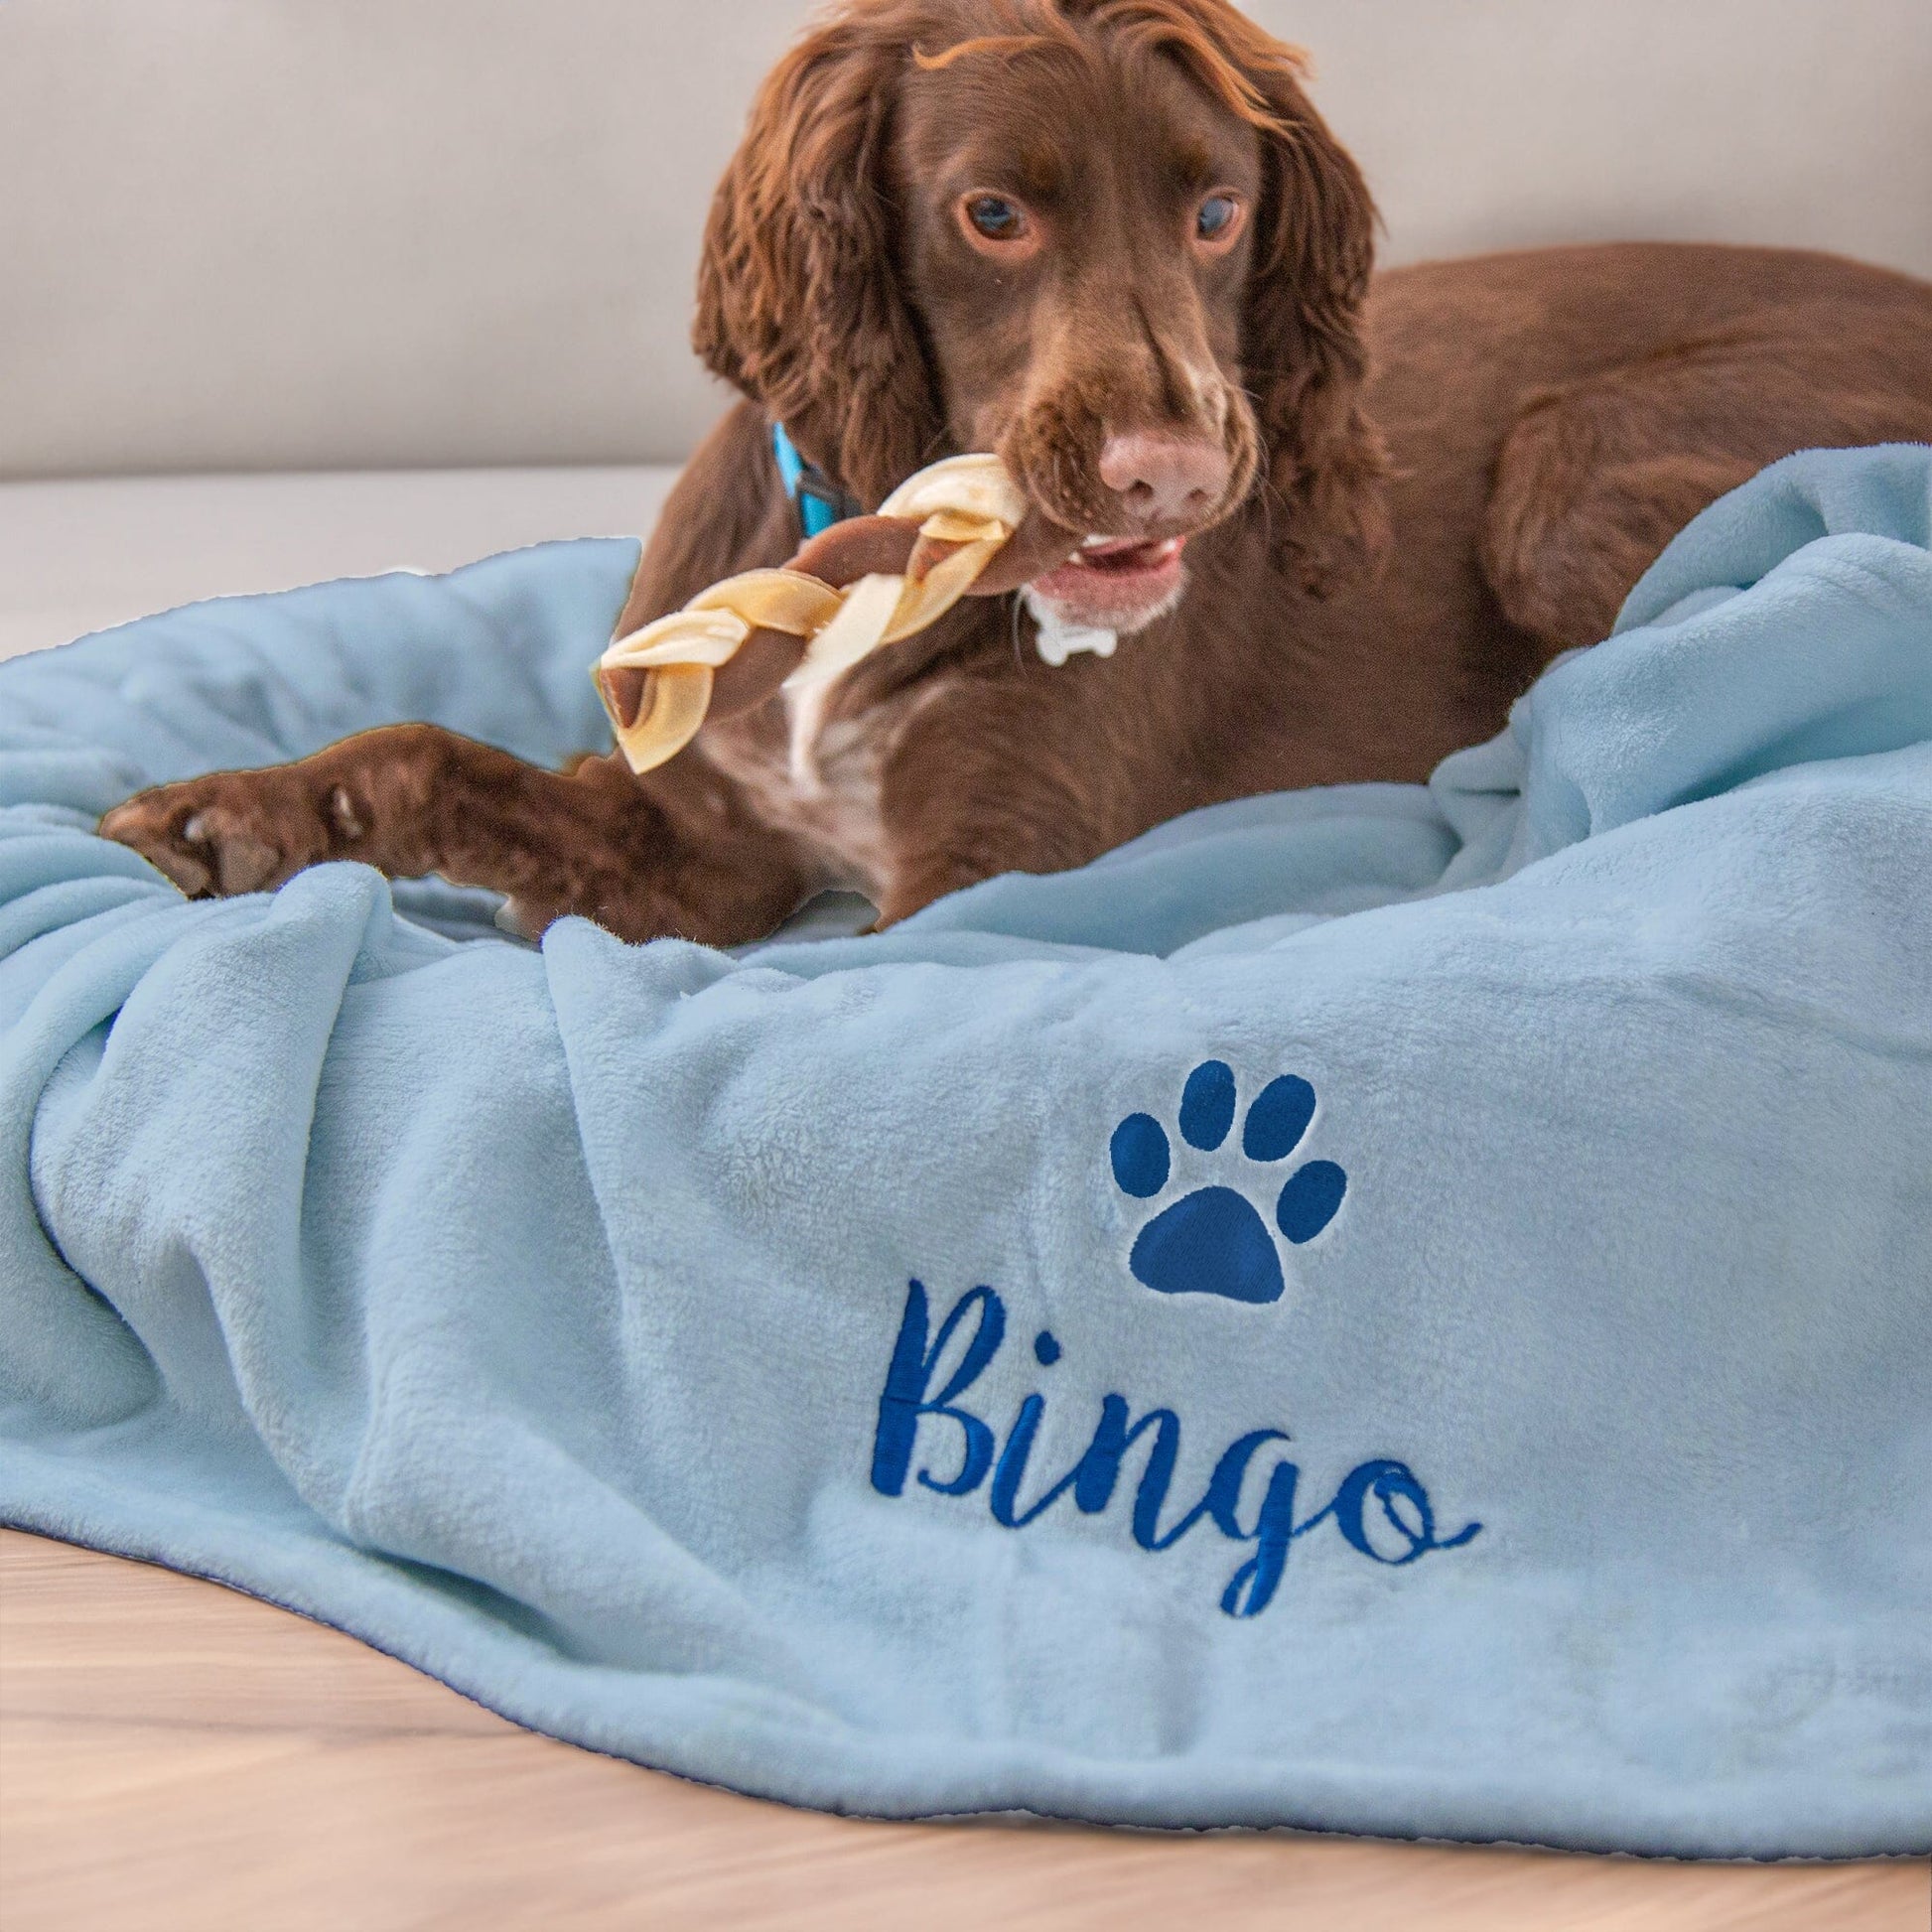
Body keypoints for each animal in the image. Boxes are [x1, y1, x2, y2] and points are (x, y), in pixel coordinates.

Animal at [101, 0, 1932, 942]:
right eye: (992, 211)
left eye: (1221, 209)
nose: (1173, 481)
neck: (874, 571)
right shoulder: (712, 853)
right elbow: (435, 754)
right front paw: (246, 811)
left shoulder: (976, 879)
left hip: (1565, 482)